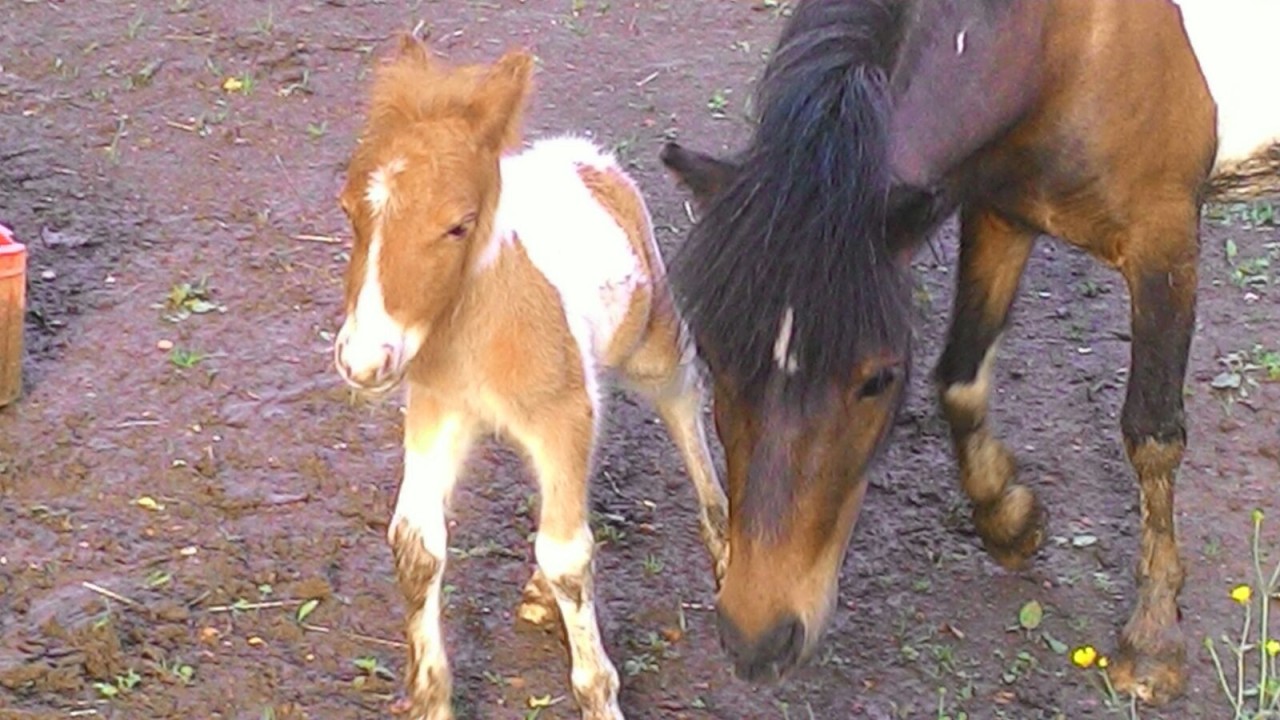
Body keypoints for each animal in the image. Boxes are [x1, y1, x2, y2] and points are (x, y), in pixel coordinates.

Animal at [330, 39, 732, 717]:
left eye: (459, 224)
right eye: (350, 210)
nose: (364, 360)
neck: (479, 331)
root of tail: (586, 155)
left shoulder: (561, 415)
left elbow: (569, 554)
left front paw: (600, 697)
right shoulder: (439, 408)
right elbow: (416, 543)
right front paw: (432, 699)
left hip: (648, 341)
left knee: (682, 400)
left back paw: (725, 539)